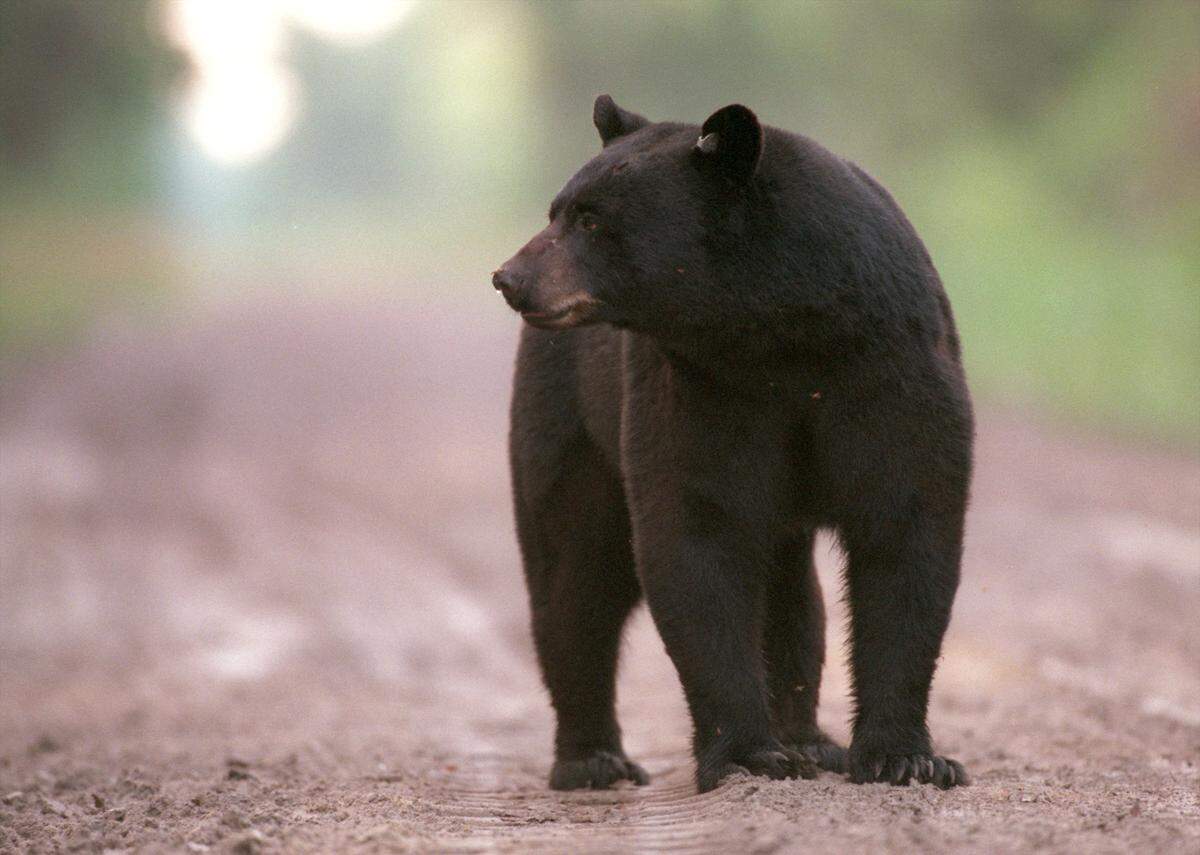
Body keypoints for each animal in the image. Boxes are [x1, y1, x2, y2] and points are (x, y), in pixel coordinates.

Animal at [493, 95, 973, 794]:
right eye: (557, 209)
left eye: (591, 217)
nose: (509, 277)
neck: (779, 333)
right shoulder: (701, 390)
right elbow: (698, 535)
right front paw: (749, 752)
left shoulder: (890, 370)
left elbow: (906, 532)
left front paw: (907, 758)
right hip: (569, 417)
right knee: (575, 576)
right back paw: (592, 758)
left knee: (790, 595)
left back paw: (809, 739)